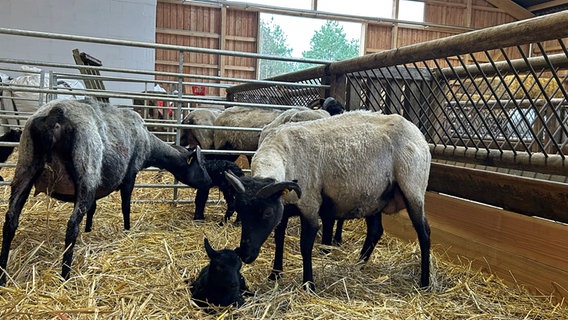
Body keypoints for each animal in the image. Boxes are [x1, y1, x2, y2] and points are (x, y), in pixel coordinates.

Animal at [0, 97, 213, 284]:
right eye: (201, 165)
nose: (210, 182)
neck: (149, 144)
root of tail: (55, 115)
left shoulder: (97, 186)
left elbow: (93, 209)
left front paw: (89, 230)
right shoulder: (129, 175)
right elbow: (126, 206)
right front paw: (127, 229)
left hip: (26, 167)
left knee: (10, 220)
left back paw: (3, 275)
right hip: (86, 172)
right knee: (71, 225)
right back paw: (65, 276)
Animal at [224, 110, 432, 292]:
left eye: (266, 213)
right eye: (240, 211)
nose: (245, 255)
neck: (283, 153)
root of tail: (418, 133)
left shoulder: (309, 206)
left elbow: (305, 245)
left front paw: (309, 285)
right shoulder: (283, 207)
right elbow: (279, 238)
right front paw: (275, 274)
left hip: (413, 189)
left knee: (424, 232)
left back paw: (425, 282)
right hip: (375, 197)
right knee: (375, 231)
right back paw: (358, 266)